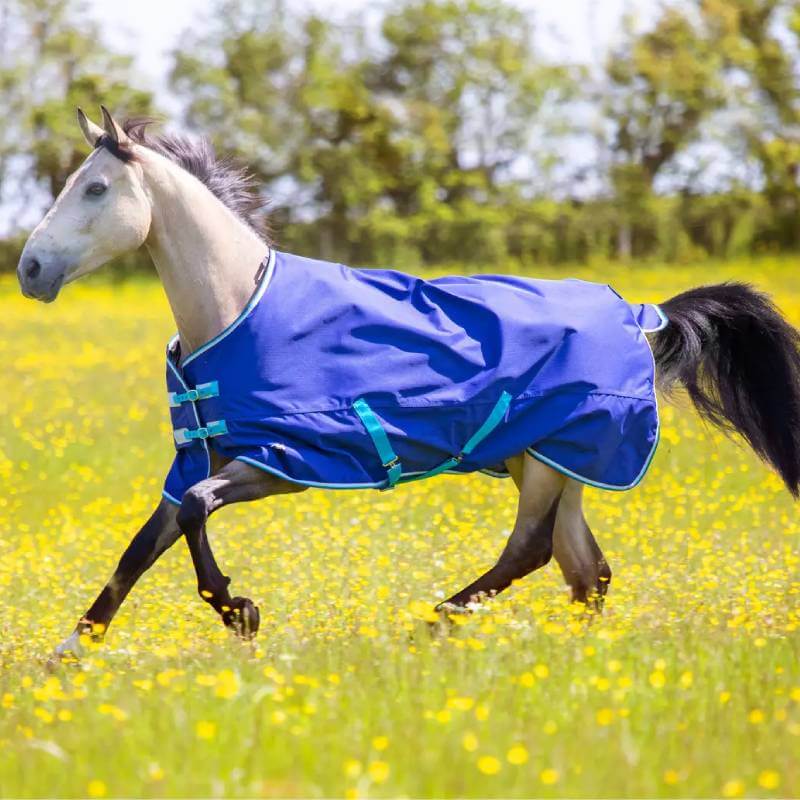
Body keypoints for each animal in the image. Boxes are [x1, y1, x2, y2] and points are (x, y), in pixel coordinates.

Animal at [17, 107, 800, 660]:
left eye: (94, 188)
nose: (29, 269)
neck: (237, 306)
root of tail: (640, 316)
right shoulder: (200, 457)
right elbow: (145, 543)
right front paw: (68, 653)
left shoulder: (285, 462)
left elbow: (195, 512)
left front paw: (241, 613)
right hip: (550, 461)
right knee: (586, 570)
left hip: (550, 461)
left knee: (533, 552)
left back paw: (432, 623)